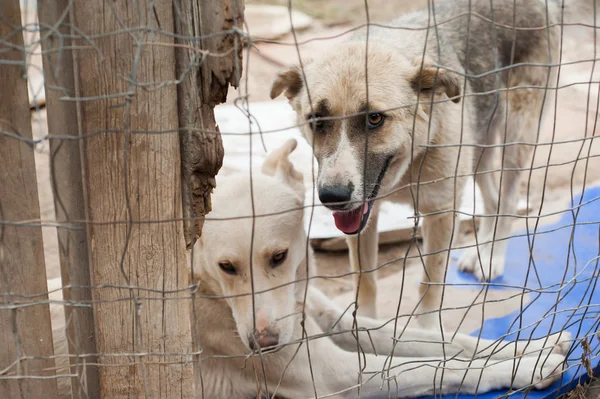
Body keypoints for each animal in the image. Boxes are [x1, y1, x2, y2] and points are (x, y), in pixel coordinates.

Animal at [270, 0, 596, 326]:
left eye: (374, 118)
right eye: (316, 120)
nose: (333, 197)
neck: (408, 162)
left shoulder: (441, 212)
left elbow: (430, 284)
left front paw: (425, 331)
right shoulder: (365, 219)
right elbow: (366, 281)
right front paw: (368, 327)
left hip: (516, 138)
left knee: (508, 199)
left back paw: (492, 257)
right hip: (478, 146)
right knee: (492, 198)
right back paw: (481, 253)